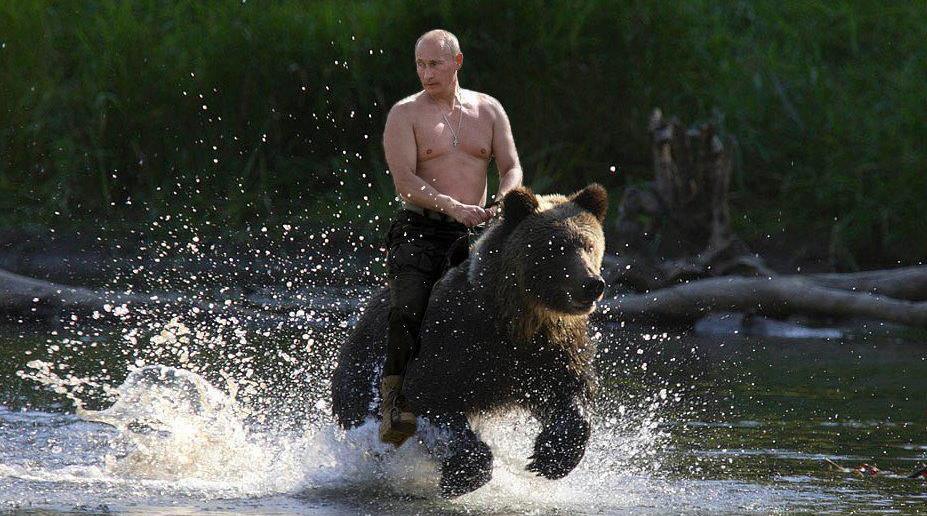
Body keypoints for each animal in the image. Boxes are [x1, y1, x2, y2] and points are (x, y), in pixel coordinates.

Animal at [331, 183, 608, 497]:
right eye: (556, 247)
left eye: (589, 244)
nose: (592, 283)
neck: (516, 318)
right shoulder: (454, 340)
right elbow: (431, 395)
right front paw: (462, 475)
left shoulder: (548, 349)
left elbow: (568, 391)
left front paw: (550, 457)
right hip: (364, 371)